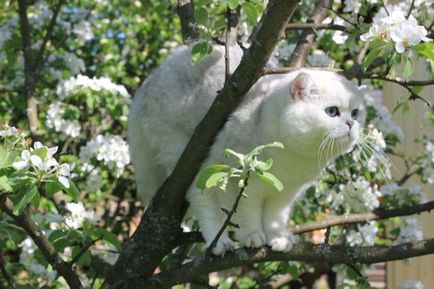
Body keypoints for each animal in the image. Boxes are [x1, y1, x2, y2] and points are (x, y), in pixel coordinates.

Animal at [129, 44, 366, 253]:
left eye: (355, 113)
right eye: (332, 112)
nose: (351, 124)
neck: (292, 155)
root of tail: (147, 84)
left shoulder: (285, 193)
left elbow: (274, 217)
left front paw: (278, 237)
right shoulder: (237, 180)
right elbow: (245, 215)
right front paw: (253, 236)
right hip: (186, 155)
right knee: (200, 198)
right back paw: (219, 242)